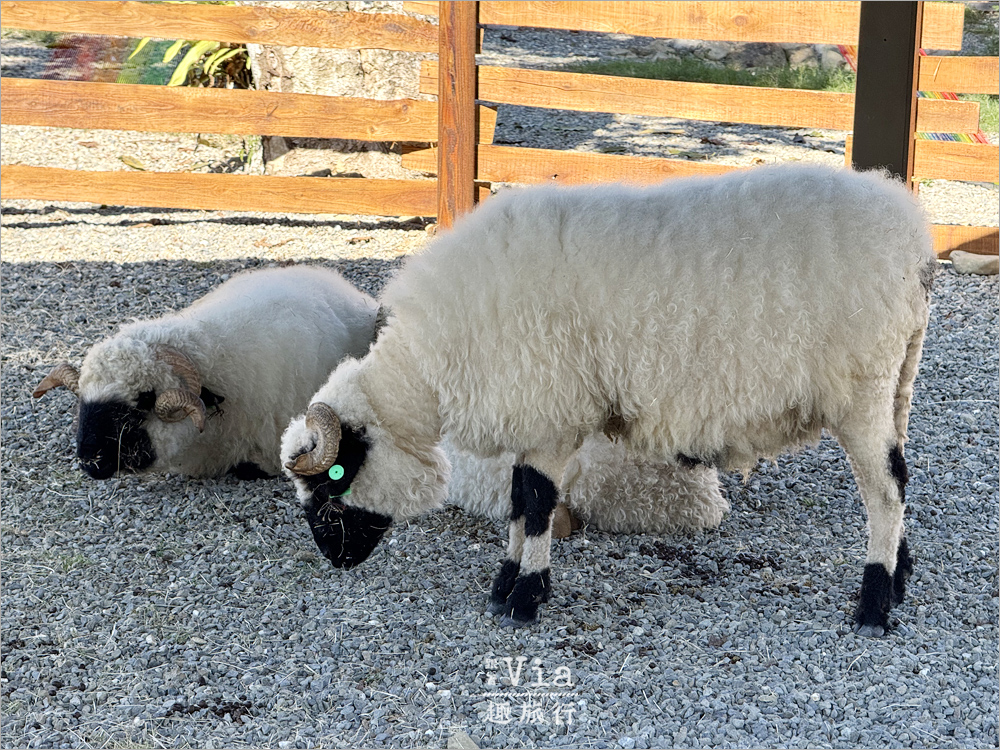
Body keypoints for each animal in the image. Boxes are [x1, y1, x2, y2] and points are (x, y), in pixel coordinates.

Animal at [284, 164, 936, 640]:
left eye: (336, 476)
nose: (331, 556)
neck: (430, 367)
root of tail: (912, 232)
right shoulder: (533, 416)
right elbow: (519, 500)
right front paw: (506, 584)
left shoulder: (551, 414)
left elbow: (537, 504)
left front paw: (524, 599)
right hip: (897, 380)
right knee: (898, 475)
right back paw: (900, 574)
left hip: (862, 385)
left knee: (884, 490)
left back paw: (874, 604)